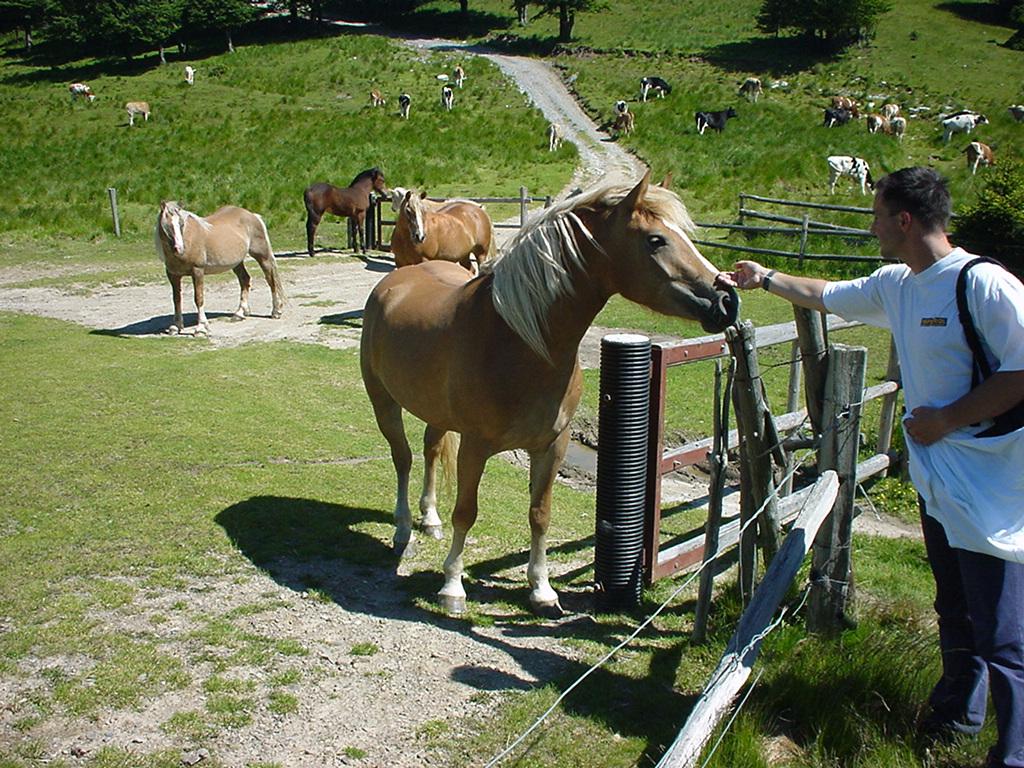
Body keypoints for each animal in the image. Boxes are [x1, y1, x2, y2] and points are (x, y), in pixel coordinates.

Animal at [154, 199, 284, 335]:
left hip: (262, 257)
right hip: (237, 263)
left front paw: (201, 328)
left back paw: (276, 311)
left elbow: (198, 298)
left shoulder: (197, 271)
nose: (179, 248)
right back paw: (239, 313)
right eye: (167, 224)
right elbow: (176, 299)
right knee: (245, 280)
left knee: (271, 281)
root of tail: (252, 215)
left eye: (181, 223)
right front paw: (176, 326)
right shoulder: (173, 275)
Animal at [360, 171, 737, 618]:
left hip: (437, 412)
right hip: (384, 402)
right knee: (402, 458)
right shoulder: (475, 446)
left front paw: (541, 590)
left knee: (431, 451)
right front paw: (453, 586)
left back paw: (429, 519)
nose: (727, 299)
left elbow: (540, 514)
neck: (520, 342)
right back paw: (403, 530)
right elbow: (466, 512)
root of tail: (397, 279)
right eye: (656, 240)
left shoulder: (552, 445)